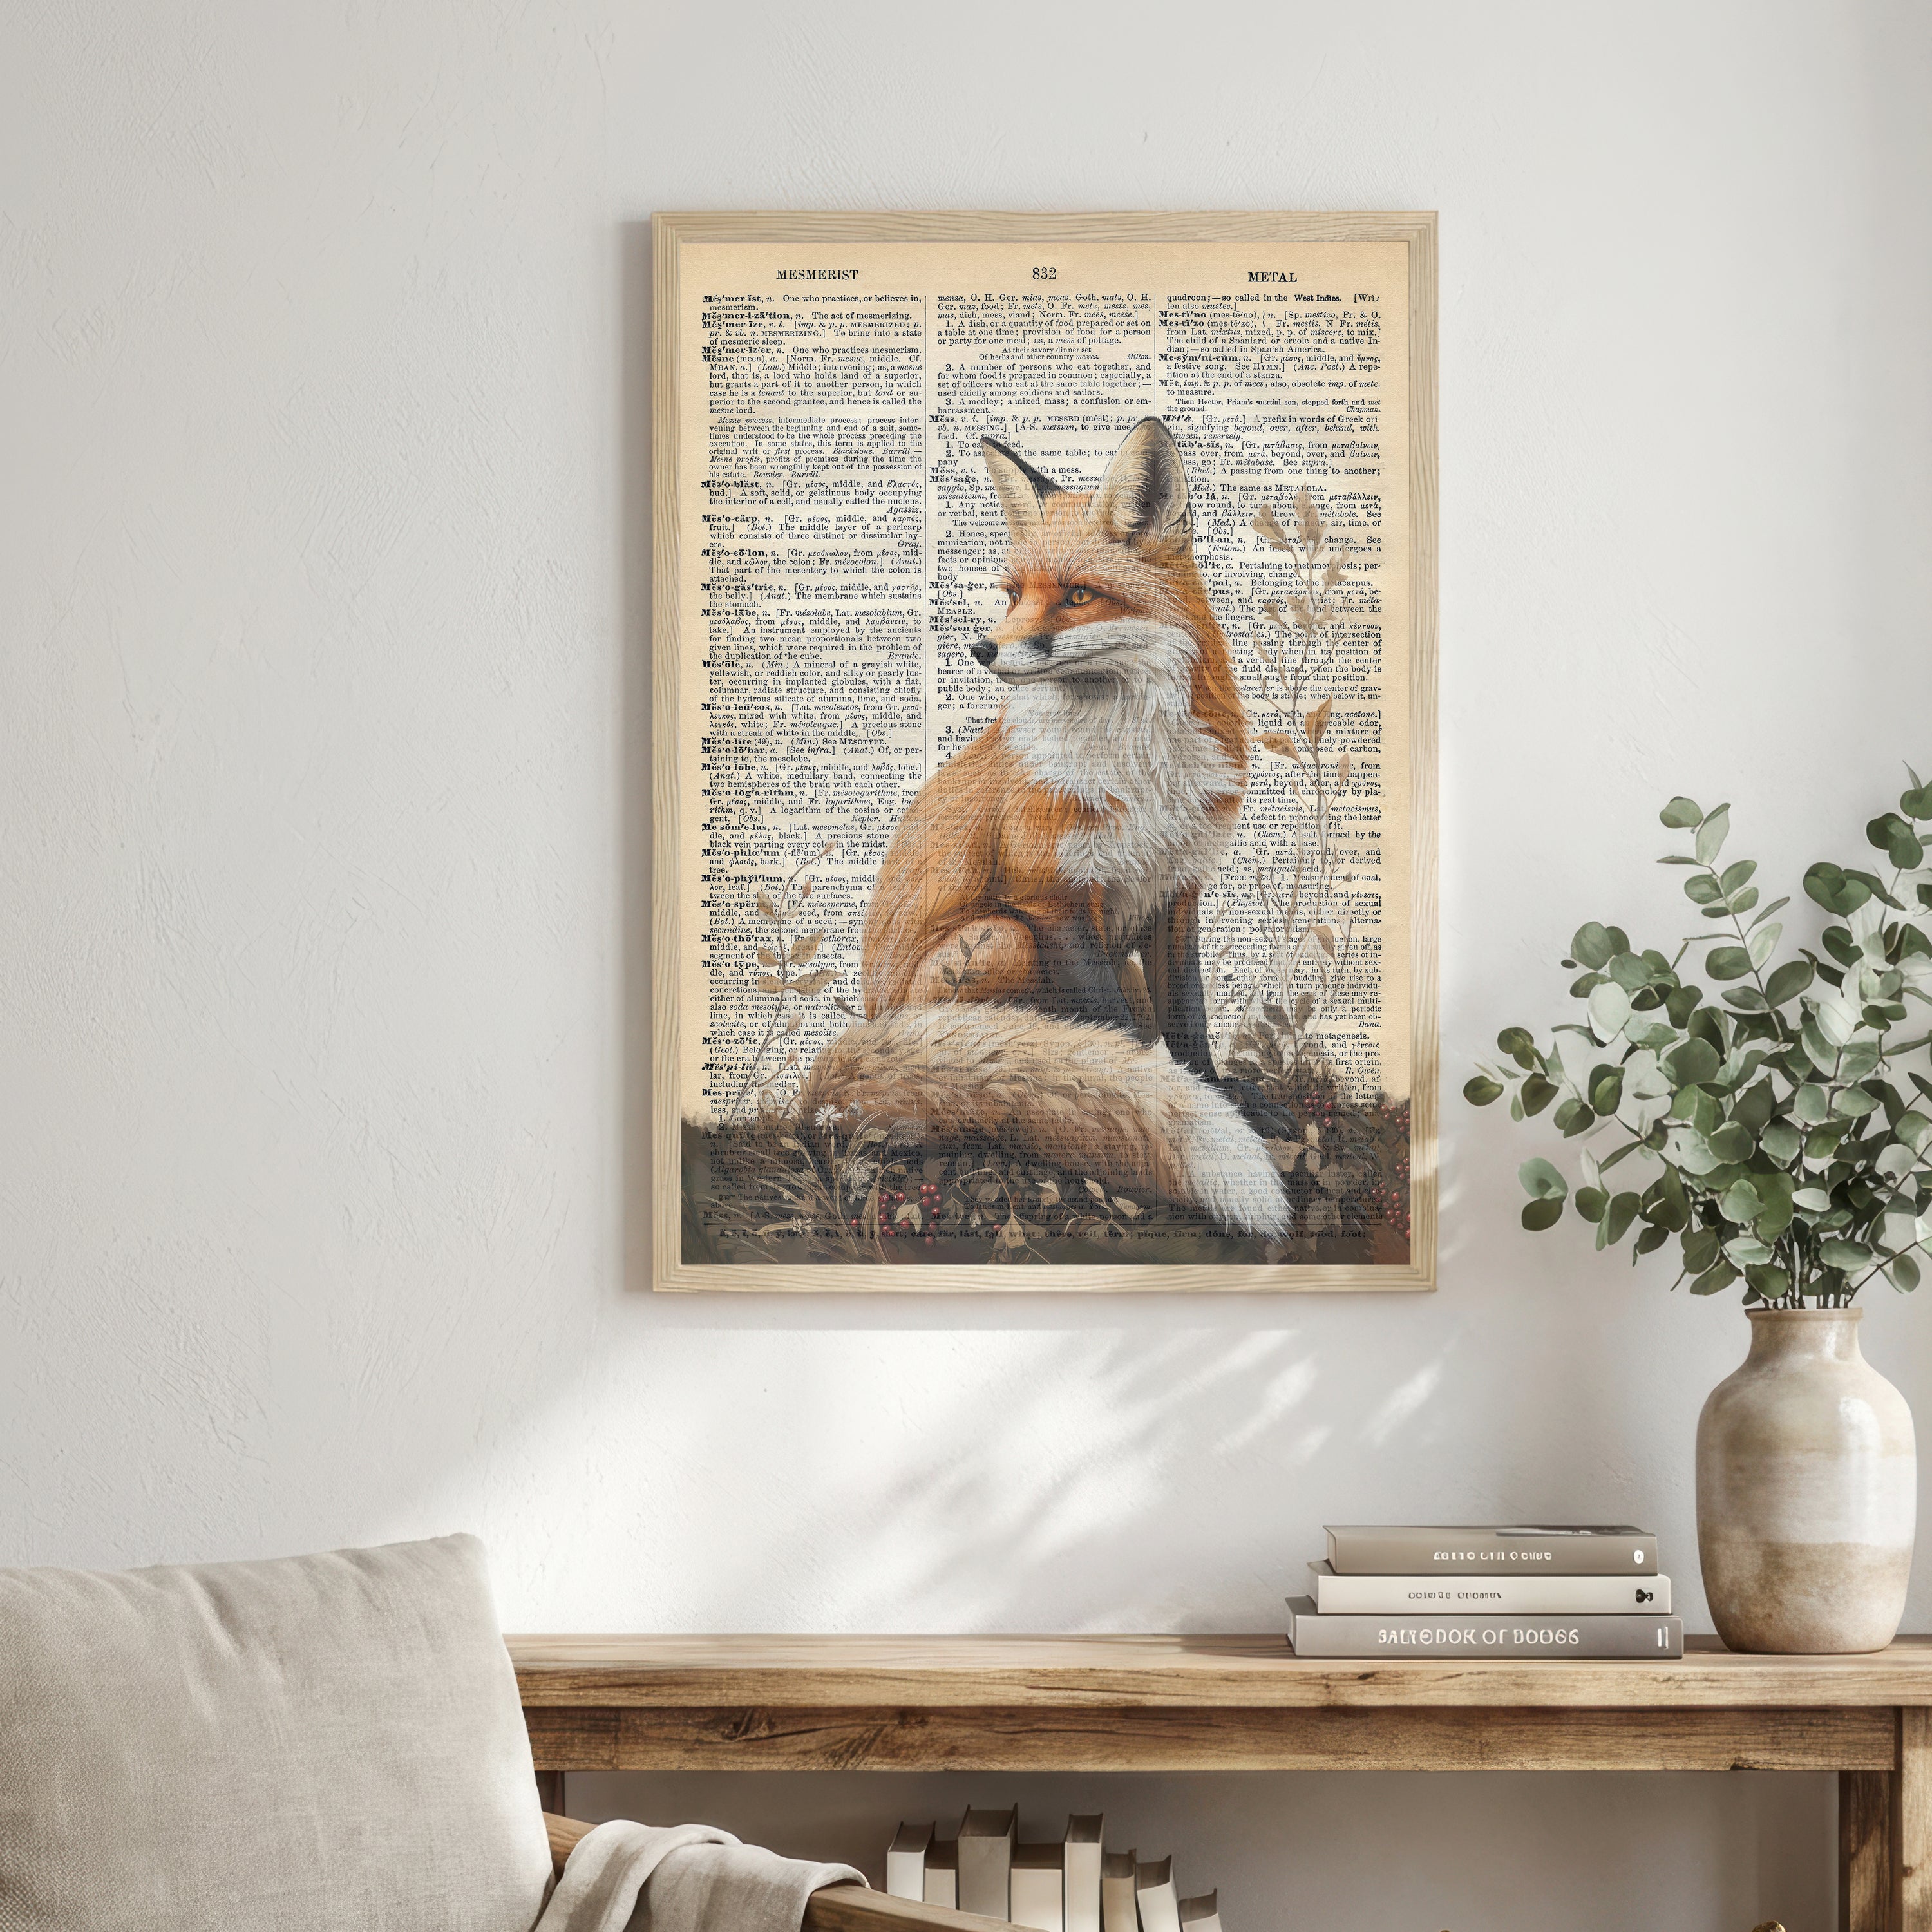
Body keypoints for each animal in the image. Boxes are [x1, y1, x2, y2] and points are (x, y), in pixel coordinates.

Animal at [799, 417, 1291, 1237]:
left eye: (1078, 595)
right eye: (1011, 596)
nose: (983, 648)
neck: (1137, 764)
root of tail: (871, 1021)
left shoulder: (1176, 891)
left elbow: (1188, 1017)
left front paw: (1215, 1091)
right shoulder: (1049, 897)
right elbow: (1114, 1035)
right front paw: (1145, 1098)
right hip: (1001, 939)